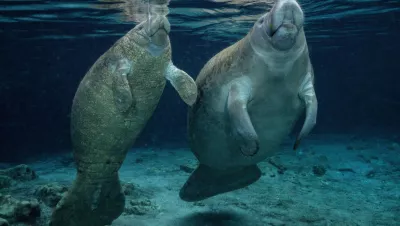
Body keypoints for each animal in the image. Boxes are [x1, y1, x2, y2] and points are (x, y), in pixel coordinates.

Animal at [49, 15, 197, 225]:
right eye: (140, 26)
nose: (161, 16)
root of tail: (94, 175)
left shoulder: (167, 66)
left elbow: (182, 78)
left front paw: (192, 97)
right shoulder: (119, 66)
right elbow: (121, 86)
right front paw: (125, 105)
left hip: (108, 174)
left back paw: (100, 215)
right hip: (87, 170)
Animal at [180, 0, 318, 201]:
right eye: (261, 20)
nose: (289, 3)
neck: (279, 61)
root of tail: (222, 171)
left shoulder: (307, 84)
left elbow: (313, 109)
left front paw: (299, 140)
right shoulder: (237, 85)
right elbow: (237, 112)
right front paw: (252, 147)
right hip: (210, 164)